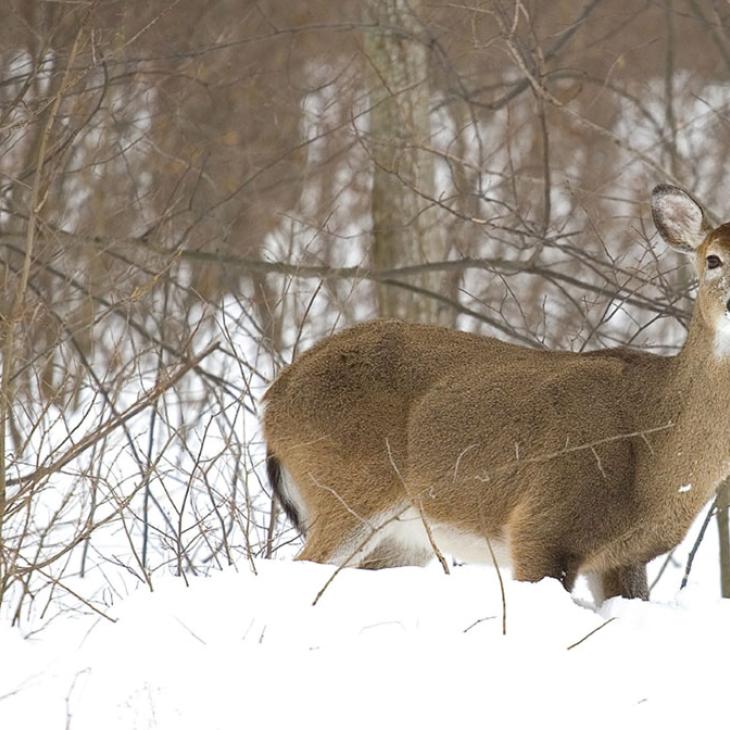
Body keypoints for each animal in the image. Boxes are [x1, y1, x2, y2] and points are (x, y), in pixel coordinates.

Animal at [262, 184, 730, 602]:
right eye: (713, 259)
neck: (655, 449)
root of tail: (275, 398)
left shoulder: (625, 557)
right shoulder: (541, 525)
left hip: (400, 537)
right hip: (345, 488)